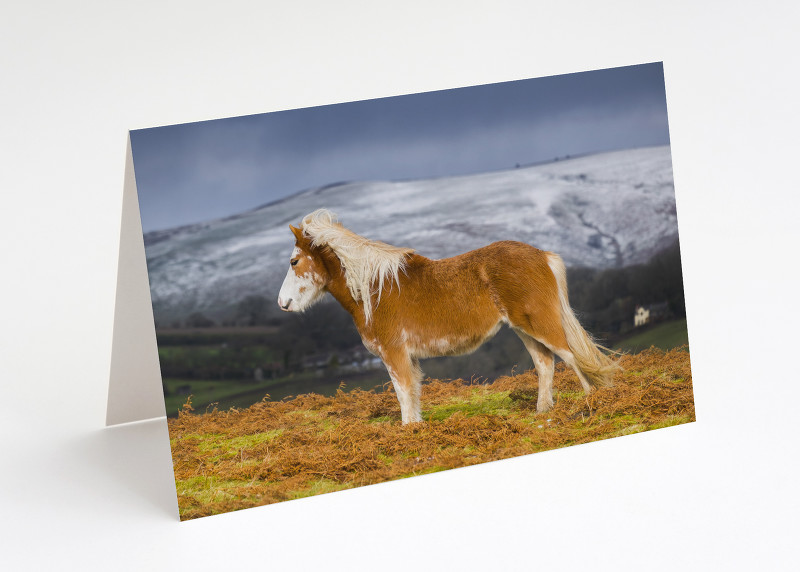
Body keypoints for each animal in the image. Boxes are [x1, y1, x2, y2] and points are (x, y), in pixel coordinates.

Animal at [276, 208, 620, 422]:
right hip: (523, 329)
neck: (372, 288)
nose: (283, 303)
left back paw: (590, 402)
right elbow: (413, 395)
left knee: (571, 356)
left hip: (539, 324)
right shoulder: (407, 357)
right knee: (545, 364)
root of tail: (542, 255)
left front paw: (408, 432)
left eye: (294, 261)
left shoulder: (394, 354)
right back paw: (543, 412)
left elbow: (403, 394)